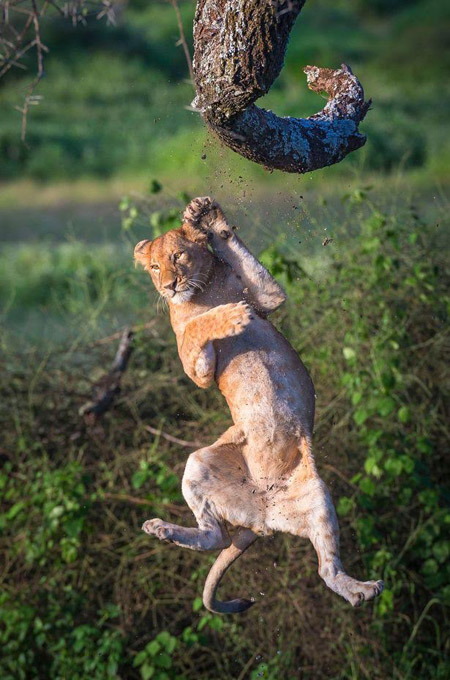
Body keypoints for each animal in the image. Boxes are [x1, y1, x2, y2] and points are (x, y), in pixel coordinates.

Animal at [134, 198, 384, 616]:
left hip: (317, 496)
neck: (203, 292)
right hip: (199, 463)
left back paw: (361, 590)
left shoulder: (267, 297)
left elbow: (242, 263)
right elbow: (199, 327)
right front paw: (230, 316)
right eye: (154, 267)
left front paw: (205, 214)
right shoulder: (196, 369)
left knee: (323, 568)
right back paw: (162, 529)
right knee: (214, 536)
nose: (169, 285)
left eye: (177, 256)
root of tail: (260, 515)